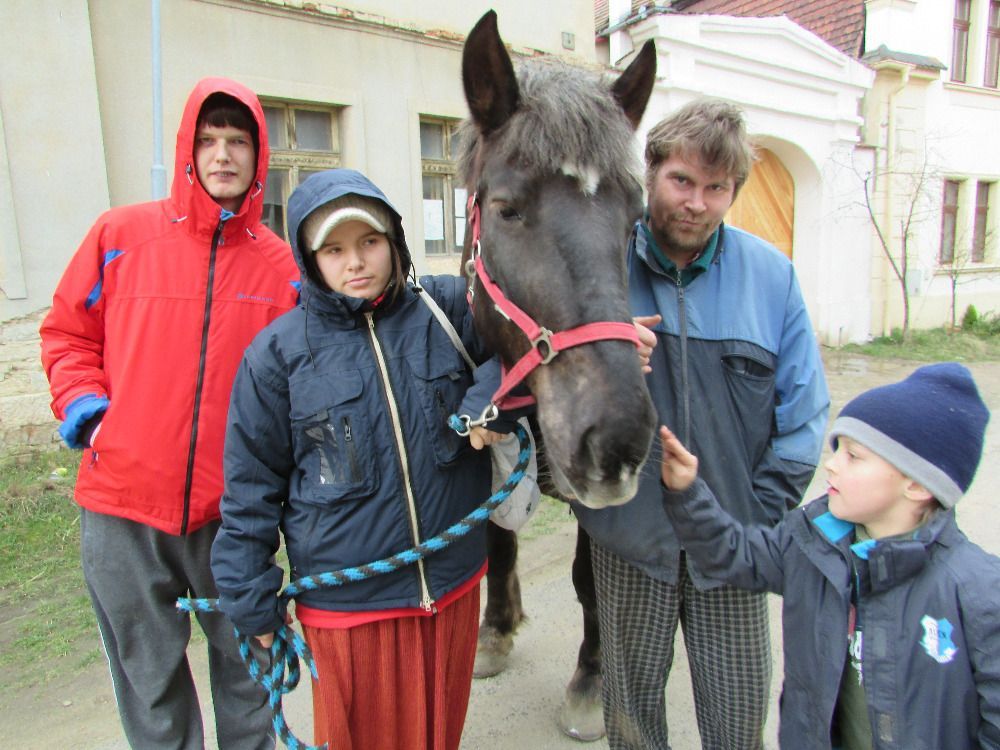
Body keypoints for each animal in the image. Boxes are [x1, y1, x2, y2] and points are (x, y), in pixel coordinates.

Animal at [456, 11, 656, 748]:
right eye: (507, 208)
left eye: (635, 218)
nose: (618, 437)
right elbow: (496, 537)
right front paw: (495, 630)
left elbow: (589, 578)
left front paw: (592, 684)